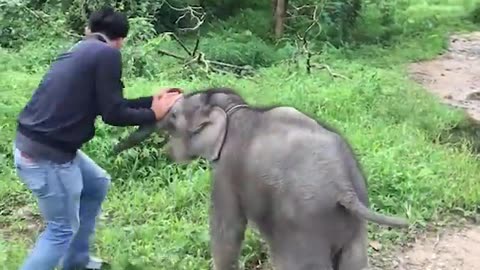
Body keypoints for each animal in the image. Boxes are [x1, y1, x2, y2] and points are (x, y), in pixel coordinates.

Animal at [113, 87, 408, 268]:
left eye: (174, 116)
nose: (115, 148)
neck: (236, 108)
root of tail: (343, 188)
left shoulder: (227, 170)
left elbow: (227, 231)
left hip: (304, 225)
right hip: (353, 225)